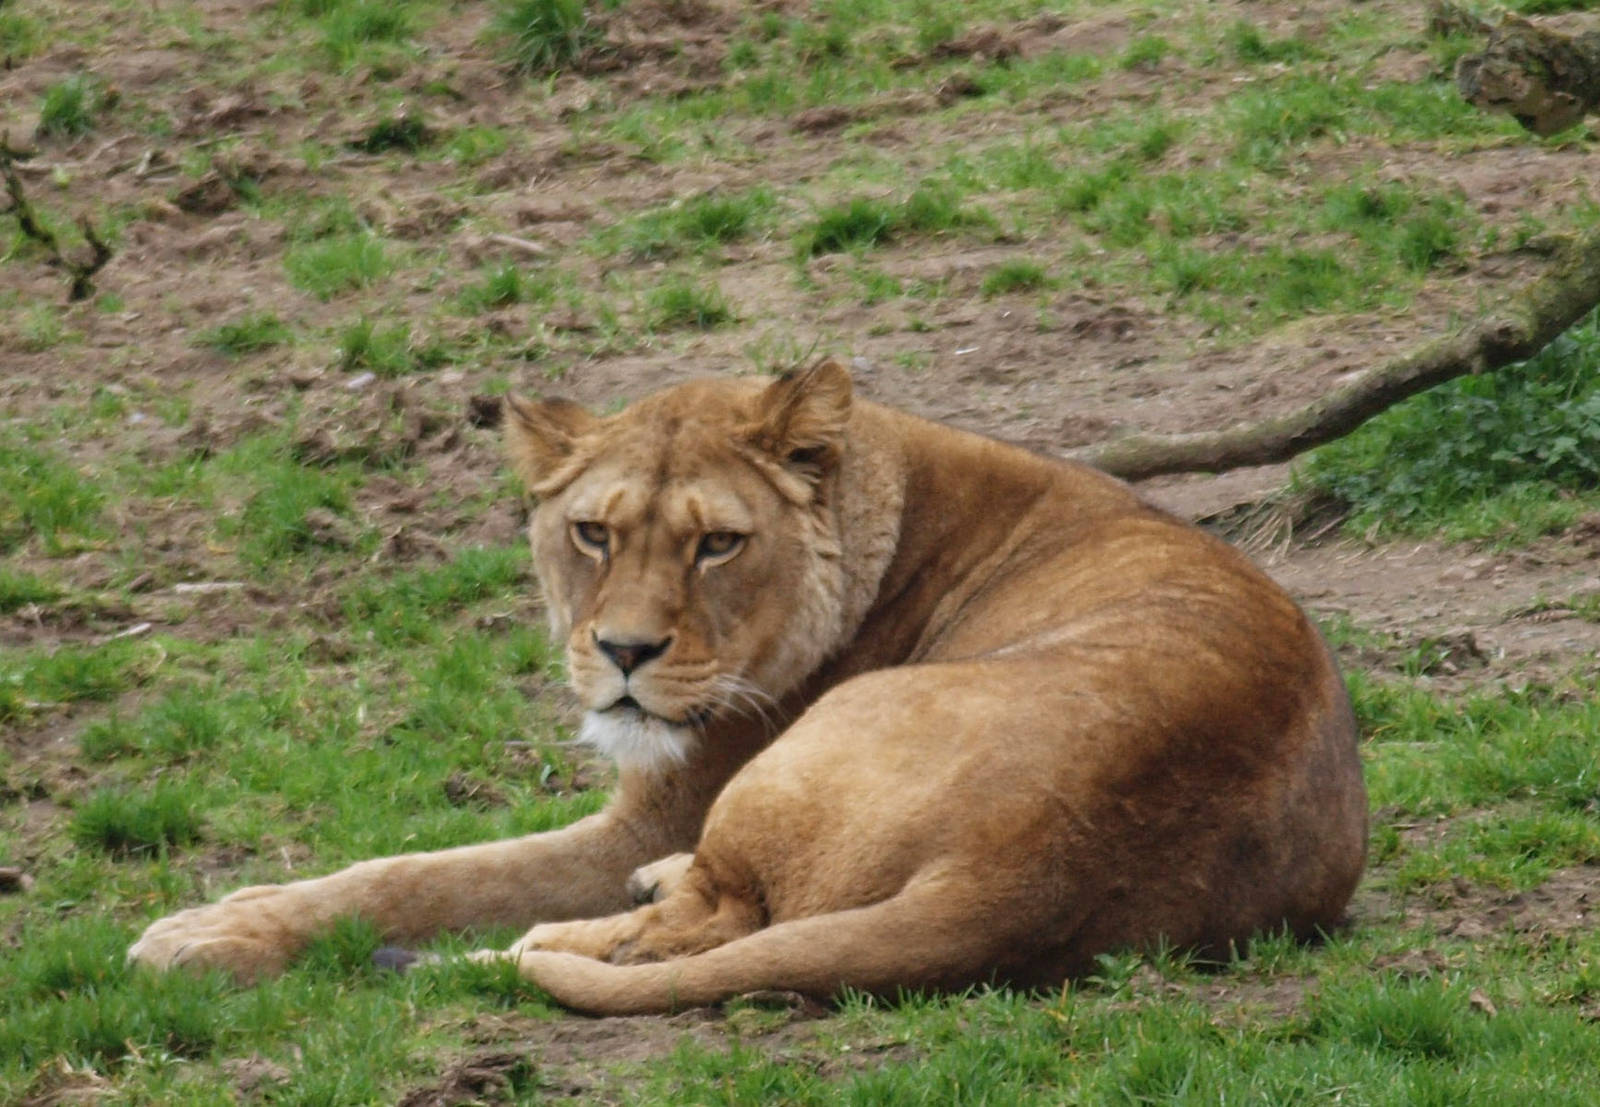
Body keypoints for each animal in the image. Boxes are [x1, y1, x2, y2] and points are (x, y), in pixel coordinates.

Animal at [130, 360, 1367, 1014]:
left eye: (716, 543)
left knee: (692, 930)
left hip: (796, 763)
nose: (624, 653)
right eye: (592, 533)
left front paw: (208, 935)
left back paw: (566, 931)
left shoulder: (660, 801)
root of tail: (1022, 874)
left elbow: (417, 876)